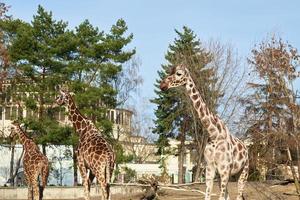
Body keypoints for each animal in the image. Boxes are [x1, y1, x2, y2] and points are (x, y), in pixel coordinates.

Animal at [161, 65, 250, 199]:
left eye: (179, 73)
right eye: (170, 71)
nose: (162, 85)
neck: (214, 133)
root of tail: (246, 149)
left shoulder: (224, 170)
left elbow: (220, 197)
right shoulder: (210, 169)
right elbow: (208, 196)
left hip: (243, 172)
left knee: (239, 195)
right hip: (225, 175)